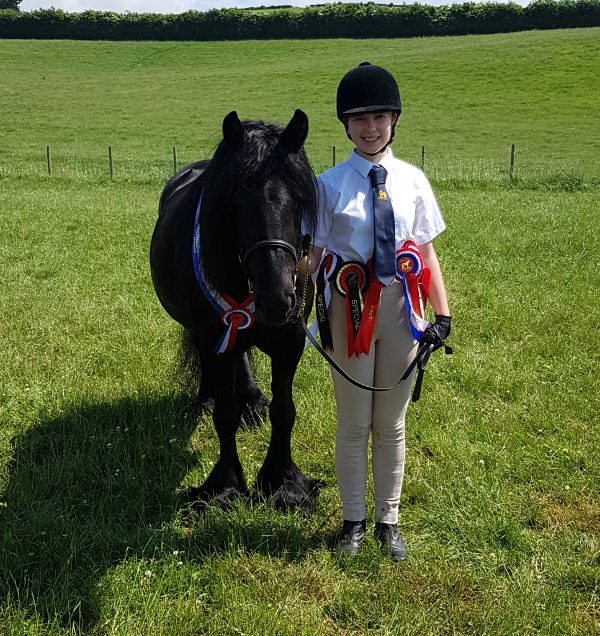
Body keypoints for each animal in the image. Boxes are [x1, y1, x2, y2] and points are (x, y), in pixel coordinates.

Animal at [150, 108, 324, 506]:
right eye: (236, 203)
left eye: (299, 199)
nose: (277, 300)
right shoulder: (215, 337)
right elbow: (225, 417)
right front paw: (226, 486)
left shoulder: (290, 342)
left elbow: (284, 411)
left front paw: (285, 484)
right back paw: (205, 399)